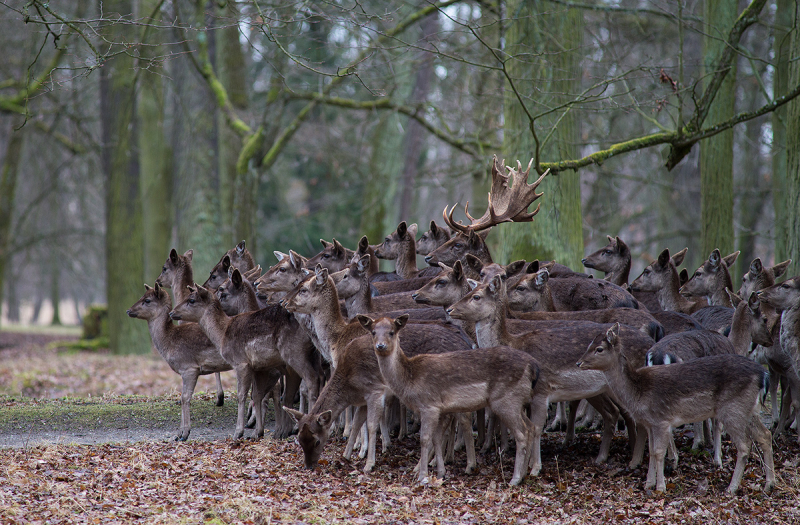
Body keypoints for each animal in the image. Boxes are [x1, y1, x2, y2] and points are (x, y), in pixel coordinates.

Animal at [170, 282, 322, 438]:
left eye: (191, 300)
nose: (171, 312)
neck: (222, 334)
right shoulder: (258, 367)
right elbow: (257, 394)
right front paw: (257, 432)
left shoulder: (241, 362)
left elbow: (242, 395)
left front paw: (238, 432)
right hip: (312, 356)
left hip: (295, 352)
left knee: (311, 379)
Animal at [576, 322, 776, 494]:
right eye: (589, 344)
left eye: (599, 349)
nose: (579, 363)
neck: (637, 394)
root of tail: (763, 375)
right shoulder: (650, 423)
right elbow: (651, 450)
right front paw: (648, 484)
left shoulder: (661, 419)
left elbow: (658, 452)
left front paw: (660, 487)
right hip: (750, 410)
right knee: (765, 435)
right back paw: (769, 485)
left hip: (732, 409)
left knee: (744, 446)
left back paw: (732, 487)